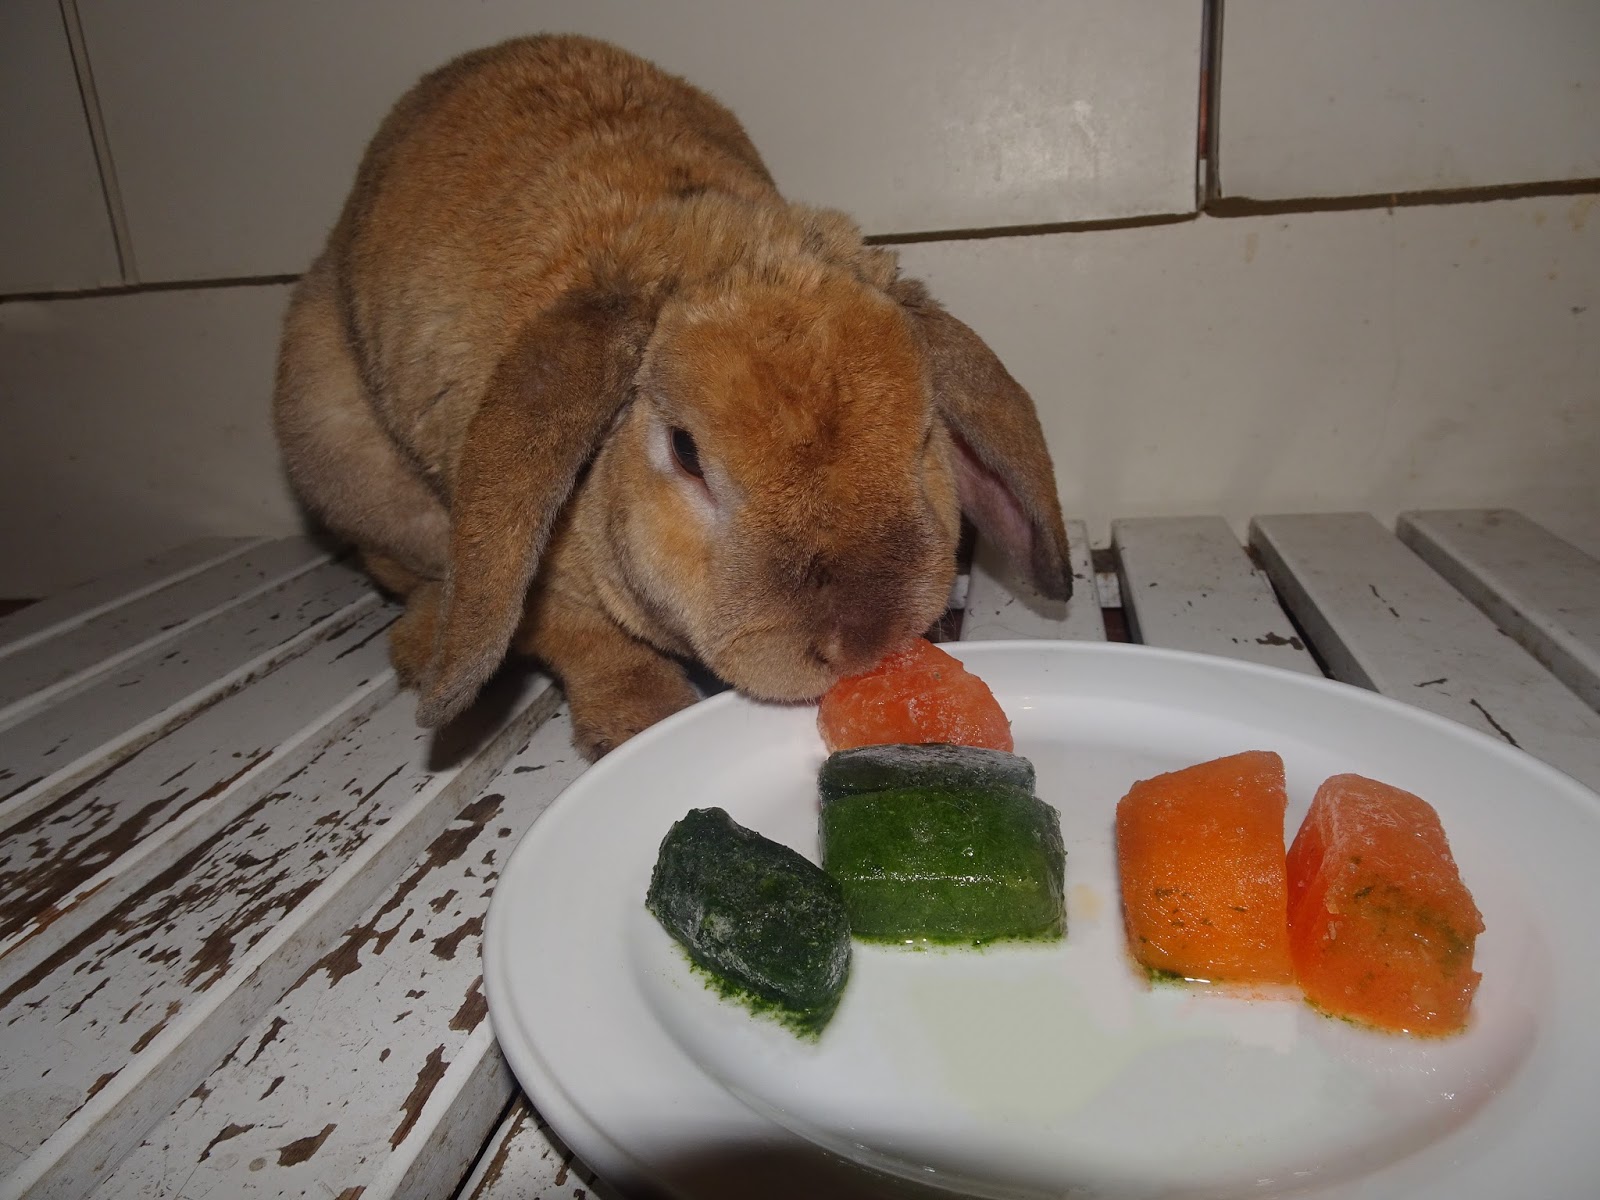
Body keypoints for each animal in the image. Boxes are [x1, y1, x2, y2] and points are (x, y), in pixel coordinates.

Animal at [273, 33, 1072, 760]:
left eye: (924, 433)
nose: (859, 643)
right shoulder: (538, 572)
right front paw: (642, 722)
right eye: (687, 453)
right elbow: (584, 638)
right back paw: (417, 644)